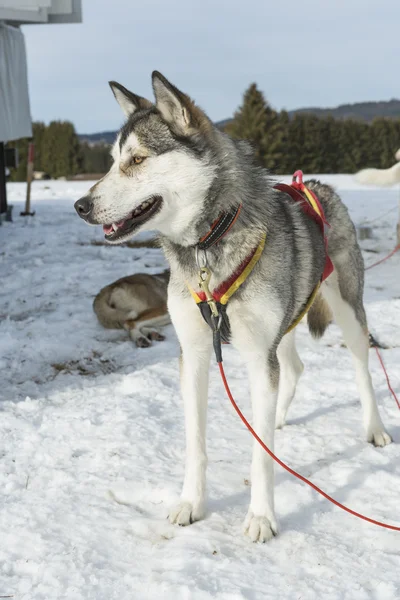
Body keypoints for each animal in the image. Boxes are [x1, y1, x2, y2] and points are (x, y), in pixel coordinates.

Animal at [74, 71, 390, 544]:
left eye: (137, 159)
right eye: (113, 162)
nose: (80, 205)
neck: (209, 243)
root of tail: (317, 185)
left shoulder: (259, 355)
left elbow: (260, 454)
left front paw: (260, 516)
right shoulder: (195, 355)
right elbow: (196, 443)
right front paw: (192, 503)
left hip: (348, 313)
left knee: (361, 367)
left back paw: (374, 428)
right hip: (286, 321)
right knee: (294, 367)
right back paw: (279, 418)